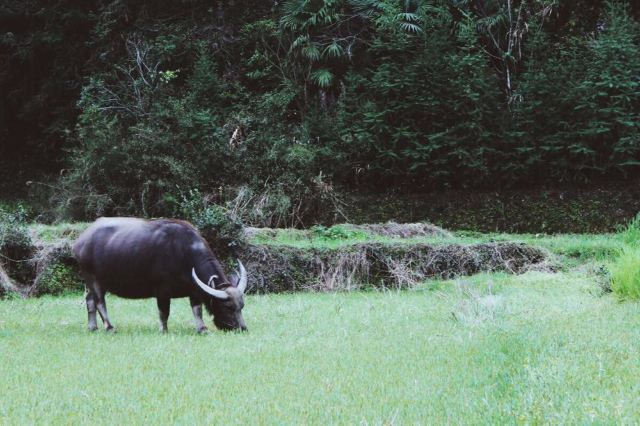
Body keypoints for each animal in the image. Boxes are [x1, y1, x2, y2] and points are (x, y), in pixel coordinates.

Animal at [72, 220, 248, 332]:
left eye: (241, 306)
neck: (184, 253)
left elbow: (197, 310)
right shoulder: (162, 291)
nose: (243, 328)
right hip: (94, 279)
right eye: (227, 307)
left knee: (90, 300)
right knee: (100, 302)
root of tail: (81, 241)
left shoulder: (194, 291)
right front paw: (163, 329)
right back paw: (109, 327)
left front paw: (202, 329)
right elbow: (164, 312)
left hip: (92, 283)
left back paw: (93, 327)